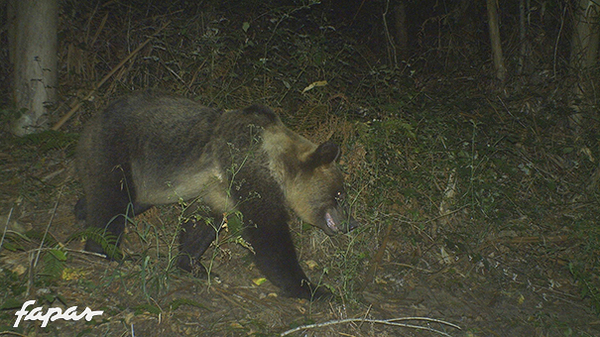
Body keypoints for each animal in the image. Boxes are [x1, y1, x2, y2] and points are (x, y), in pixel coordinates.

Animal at [74, 90, 356, 298]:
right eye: (340, 194)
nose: (351, 222)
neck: (277, 161)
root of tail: (91, 120)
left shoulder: (218, 189)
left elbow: (202, 222)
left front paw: (192, 264)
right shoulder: (248, 167)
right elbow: (267, 233)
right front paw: (313, 288)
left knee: (120, 200)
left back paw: (81, 211)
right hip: (119, 147)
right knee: (113, 198)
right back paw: (107, 250)